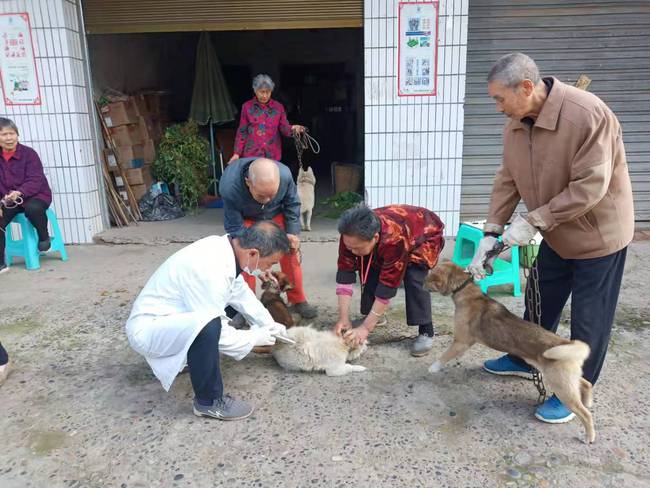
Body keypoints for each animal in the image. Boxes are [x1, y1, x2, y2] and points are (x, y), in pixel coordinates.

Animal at [422, 262, 596, 444]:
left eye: (429, 277)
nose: (421, 284)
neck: (465, 289)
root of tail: (567, 344)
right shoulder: (463, 343)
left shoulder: (460, 342)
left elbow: (444, 356)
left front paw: (434, 367)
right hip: (568, 379)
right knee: (586, 383)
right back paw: (588, 400)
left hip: (562, 387)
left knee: (586, 414)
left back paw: (589, 436)